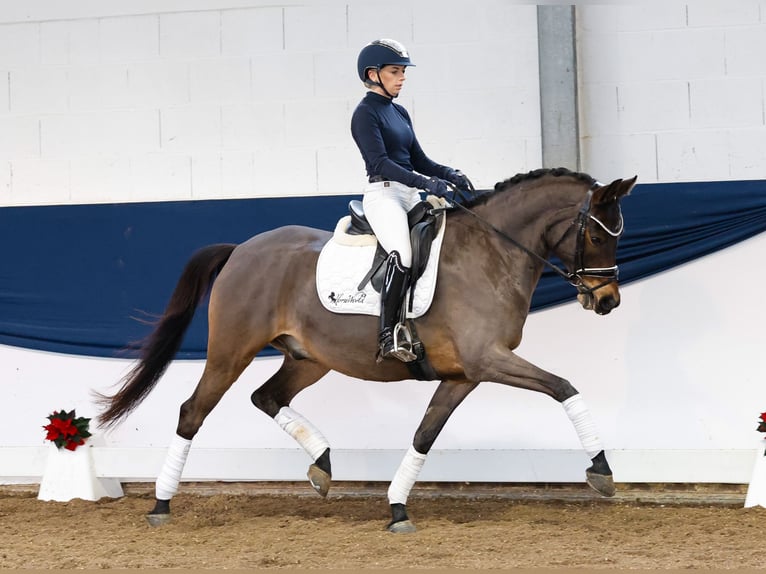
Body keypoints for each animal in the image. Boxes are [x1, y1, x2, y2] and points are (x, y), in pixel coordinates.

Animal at [94, 168, 636, 536]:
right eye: (594, 233)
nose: (608, 301)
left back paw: (322, 466)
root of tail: (241, 249)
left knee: (267, 398)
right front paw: (602, 472)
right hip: (231, 350)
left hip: (308, 359)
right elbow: (564, 387)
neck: (492, 252)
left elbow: (425, 435)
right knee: (193, 411)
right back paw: (161, 505)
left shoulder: (464, 374)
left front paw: (397, 508)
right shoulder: (488, 359)